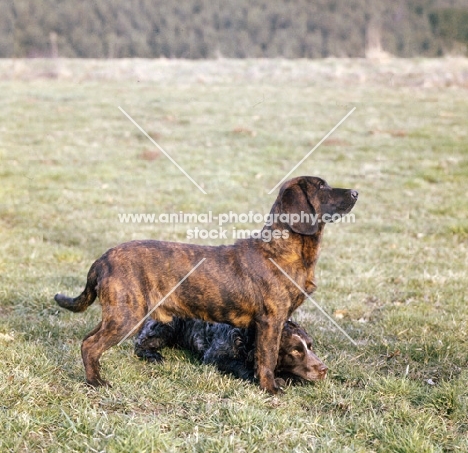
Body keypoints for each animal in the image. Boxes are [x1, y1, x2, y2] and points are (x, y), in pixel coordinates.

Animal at [133, 316, 328, 384]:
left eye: (310, 346)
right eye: (295, 351)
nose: (324, 369)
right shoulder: (216, 356)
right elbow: (240, 366)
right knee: (140, 344)